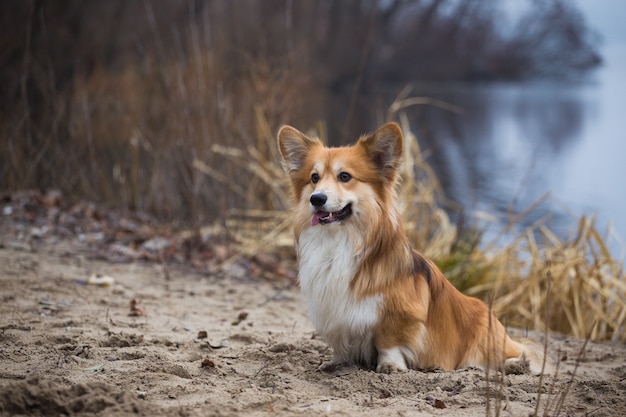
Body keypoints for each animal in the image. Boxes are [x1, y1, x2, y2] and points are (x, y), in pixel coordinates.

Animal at [278, 122, 544, 372]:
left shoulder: (399, 313)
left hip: (483, 331)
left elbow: (389, 342)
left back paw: (515, 364)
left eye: (344, 176)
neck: (339, 241)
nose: (316, 199)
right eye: (314, 178)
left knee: (514, 354)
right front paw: (336, 361)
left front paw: (390, 365)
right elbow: (341, 343)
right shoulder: (332, 312)